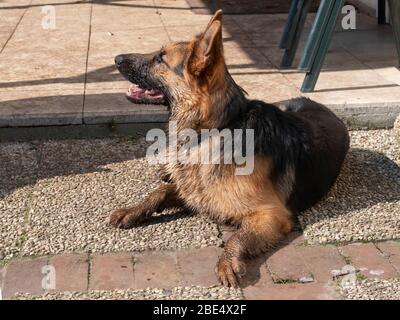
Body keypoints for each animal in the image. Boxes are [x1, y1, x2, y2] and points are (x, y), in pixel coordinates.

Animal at [112, 10, 350, 288]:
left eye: (161, 58)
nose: (116, 58)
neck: (215, 130)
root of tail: (325, 108)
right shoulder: (196, 190)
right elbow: (159, 192)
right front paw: (132, 211)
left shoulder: (272, 214)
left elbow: (238, 236)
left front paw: (227, 261)